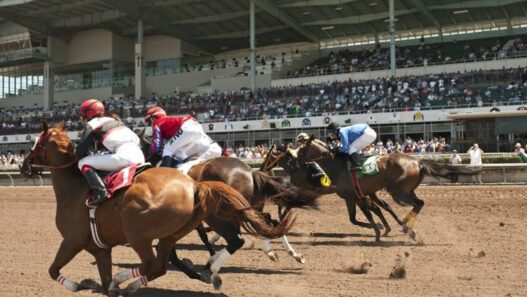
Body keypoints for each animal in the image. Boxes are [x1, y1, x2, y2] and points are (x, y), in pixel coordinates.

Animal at [21, 122, 296, 294]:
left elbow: (53, 269)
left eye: (35, 143)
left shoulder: (73, 240)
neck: (75, 189)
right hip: (199, 223)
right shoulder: (100, 248)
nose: (24, 165)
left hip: (140, 233)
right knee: (252, 230)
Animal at [262, 136, 480, 243]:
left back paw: (405, 227)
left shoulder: (351, 195)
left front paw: (377, 231)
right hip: (394, 191)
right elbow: (363, 215)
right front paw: (379, 230)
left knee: (416, 203)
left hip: (398, 192)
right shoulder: (353, 196)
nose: (293, 159)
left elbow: (362, 216)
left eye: (302, 149)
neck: (335, 165)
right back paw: (402, 227)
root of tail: (418, 162)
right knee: (393, 206)